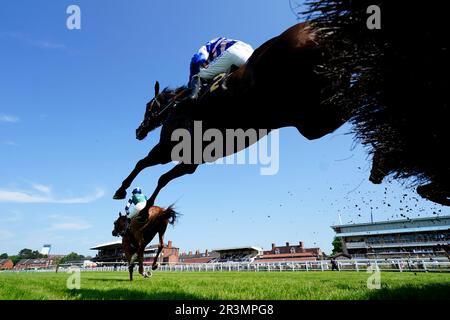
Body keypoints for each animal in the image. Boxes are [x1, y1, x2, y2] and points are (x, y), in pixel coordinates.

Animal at [113, 23, 352, 208]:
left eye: (148, 106)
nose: (138, 131)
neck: (176, 106)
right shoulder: (192, 162)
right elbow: (160, 176)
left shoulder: (167, 149)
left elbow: (145, 166)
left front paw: (132, 199)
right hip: (314, 121)